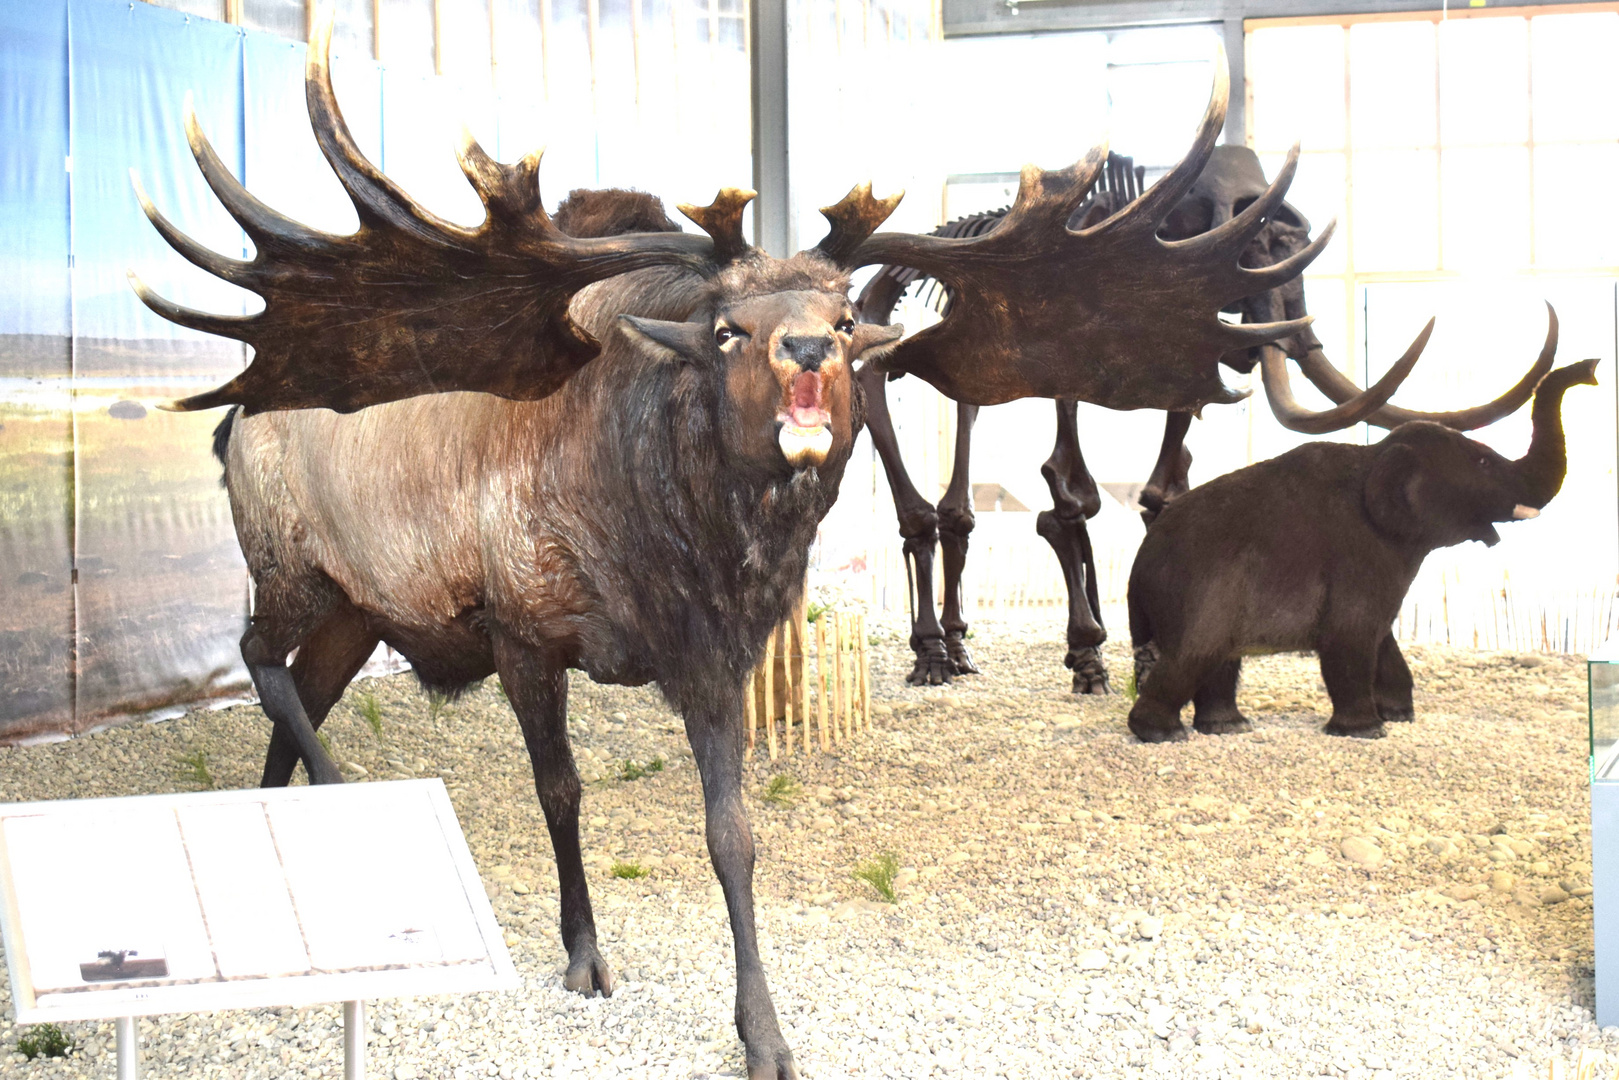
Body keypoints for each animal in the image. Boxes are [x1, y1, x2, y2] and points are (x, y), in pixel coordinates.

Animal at [132, 21, 1327, 1075]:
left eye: (844, 318)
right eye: (724, 328)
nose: (803, 349)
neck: (670, 554)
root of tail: (231, 420)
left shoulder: (717, 655)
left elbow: (731, 834)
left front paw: (764, 1034)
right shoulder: (521, 622)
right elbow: (561, 792)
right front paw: (583, 955)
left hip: (355, 606)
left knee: (296, 691)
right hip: (289, 564)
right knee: (258, 658)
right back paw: (333, 792)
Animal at [861, 148, 1554, 693]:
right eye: (1257, 245)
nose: (1278, 331)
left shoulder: (1181, 366)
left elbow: (1163, 493)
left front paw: (1149, 655)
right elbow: (1069, 498)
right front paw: (1088, 656)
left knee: (960, 491)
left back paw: (959, 649)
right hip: (881, 348)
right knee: (913, 497)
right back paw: (930, 655)